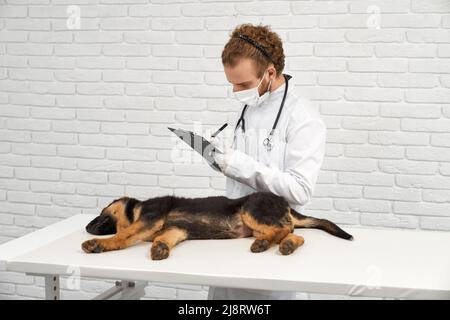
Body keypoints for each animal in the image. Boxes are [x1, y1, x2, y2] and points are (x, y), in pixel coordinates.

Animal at [82, 190, 354, 260]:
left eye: (101, 213)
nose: (86, 226)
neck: (136, 210)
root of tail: (283, 203)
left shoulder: (150, 217)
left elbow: (124, 235)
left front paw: (97, 244)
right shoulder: (175, 230)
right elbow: (163, 238)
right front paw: (160, 248)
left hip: (251, 210)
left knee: (284, 229)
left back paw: (265, 244)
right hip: (258, 223)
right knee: (295, 234)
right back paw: (284, 245)